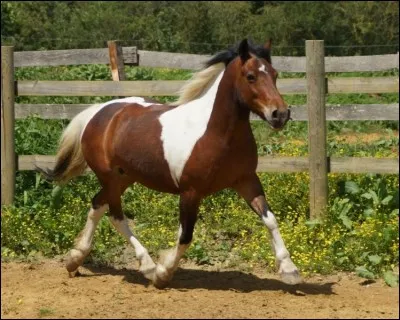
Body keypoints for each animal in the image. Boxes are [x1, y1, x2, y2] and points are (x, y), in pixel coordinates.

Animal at [38, 38, 304, 290]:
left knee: (97, 205)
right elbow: (186, 235)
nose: (280, 114)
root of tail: (98, 112)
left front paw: (289, 270)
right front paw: (163, 274)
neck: (216, 133)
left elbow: (270, 219)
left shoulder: (246, 180)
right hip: (111, 179)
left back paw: (75, 260)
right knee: (116, 216)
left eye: (275, 74)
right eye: (251, 76)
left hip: (124, 177)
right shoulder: (190, 192)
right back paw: (146, 266)